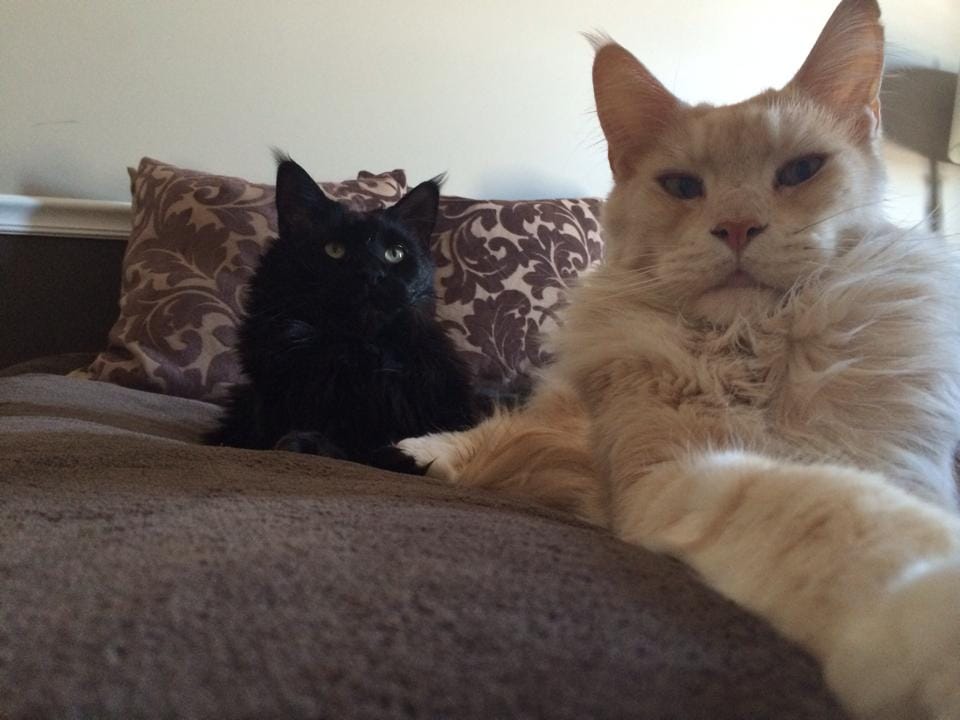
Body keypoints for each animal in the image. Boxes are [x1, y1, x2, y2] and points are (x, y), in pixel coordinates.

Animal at [396, 1, 960, 718]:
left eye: (800, 172)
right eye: (684, 186)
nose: (738, 227)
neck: (752, 348)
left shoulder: (898, 460)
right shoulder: (673, 474)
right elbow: (832, 511)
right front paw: (926, 612)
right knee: (491, 435)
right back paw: (424, 454)